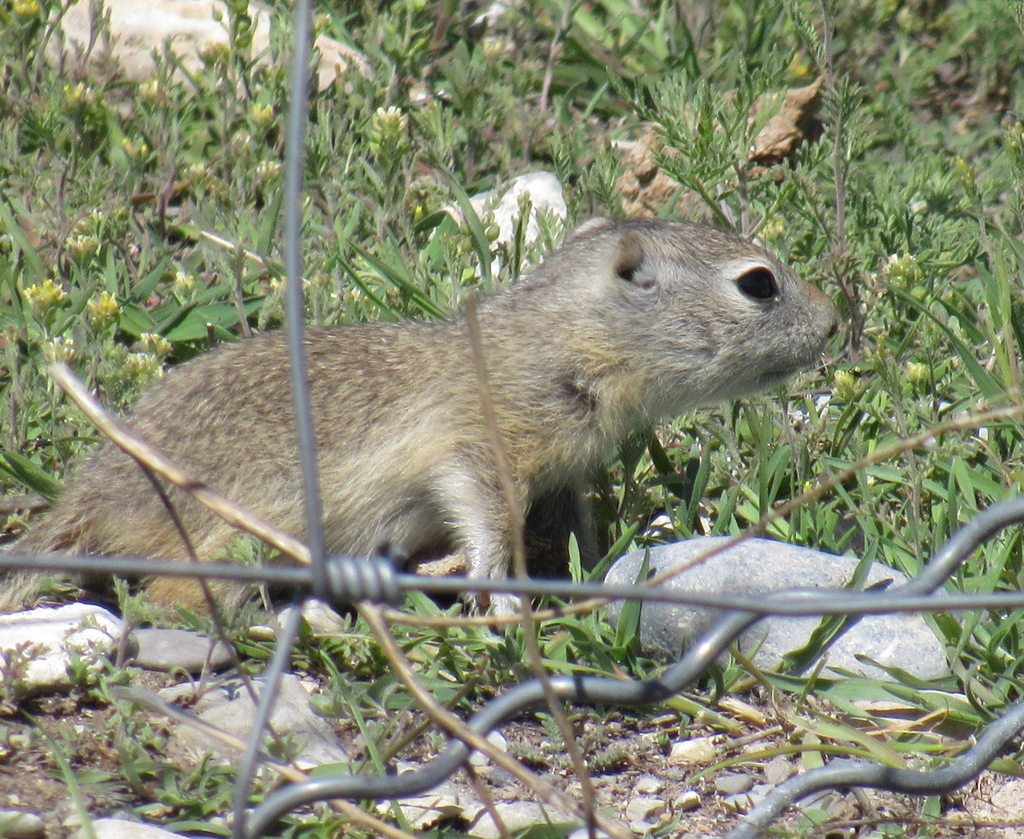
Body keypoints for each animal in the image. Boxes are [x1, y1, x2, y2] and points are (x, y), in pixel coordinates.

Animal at [2, 218, 840, 615]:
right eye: (758, 283)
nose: (836, 323)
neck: (564, 339)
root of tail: (90, 497)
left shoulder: (562, 472)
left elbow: (573, 523)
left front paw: (589, 564)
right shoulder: (478, 444)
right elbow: (486, 519)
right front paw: (499, 588)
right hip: (236, 531)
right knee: (169, 597)